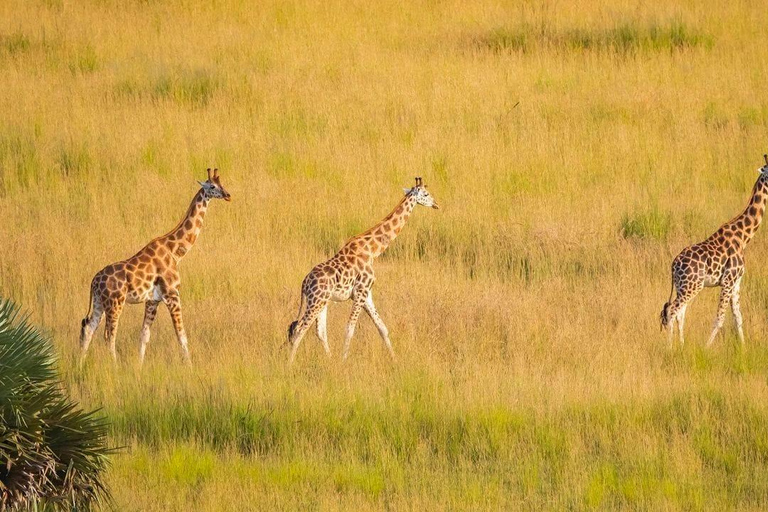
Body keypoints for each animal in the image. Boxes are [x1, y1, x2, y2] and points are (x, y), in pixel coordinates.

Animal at [81, 170, 232, 366]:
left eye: (222, 184)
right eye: (212, 186)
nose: (227, 195)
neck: (175, 252)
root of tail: (94, 282)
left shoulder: (152, 300)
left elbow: (144, 335)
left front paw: (139, 366)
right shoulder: (173, 295)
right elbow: (181, 335)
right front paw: (190, 366)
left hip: (100, 302)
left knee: (89, 328)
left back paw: (80, 364)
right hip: (115, 303)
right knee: (109, 336)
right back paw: (115, 367)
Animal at [288, 176, 440, 364]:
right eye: (426, 194)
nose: (436, 204)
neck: (373, 250)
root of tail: (304, 283)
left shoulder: (367, 294)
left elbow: (382, 327)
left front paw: (394, 359)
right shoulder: (360, 292)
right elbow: (350, 329)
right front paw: (344, 361)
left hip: (321, 301)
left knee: (319, 331)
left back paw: (329, 361)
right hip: (316, 301)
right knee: (299, 329)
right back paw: (289, 364)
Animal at [660, 156, 768, 348]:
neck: (743, 237)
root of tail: (673, 265)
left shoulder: (736, 282)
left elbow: (738, 318)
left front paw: (743, 350)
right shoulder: (728, 280)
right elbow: (720, 318)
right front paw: (706, 348)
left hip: (683, 286)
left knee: (680, 313)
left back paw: (681, 346)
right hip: (692, 286)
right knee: (672, 310)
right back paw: (670, 348)